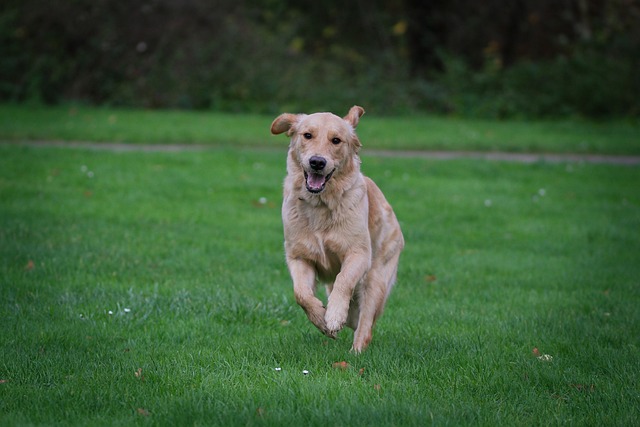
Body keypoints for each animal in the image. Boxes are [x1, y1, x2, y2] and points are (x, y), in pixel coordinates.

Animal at [272, 105, 404, 352]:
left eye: (336, 140)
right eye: (307, 135)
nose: (317, 162)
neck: (320, 204)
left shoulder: (358, 254)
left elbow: (344, 280)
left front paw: (333, 315)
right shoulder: (298, 257)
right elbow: (301, 294)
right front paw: (321, 319)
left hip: (375, 280)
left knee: (364, 325)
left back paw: (356, 352)